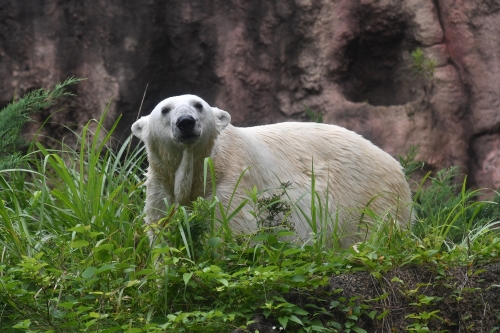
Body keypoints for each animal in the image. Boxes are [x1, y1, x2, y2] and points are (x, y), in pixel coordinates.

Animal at [133, 94, 414, 245]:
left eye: (198, 105)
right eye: (165, 109)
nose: (186, 122)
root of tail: (395, 164)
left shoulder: (233, 179)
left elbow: (231, 228)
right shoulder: (162, 184)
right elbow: (162, 230)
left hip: (368, 196)